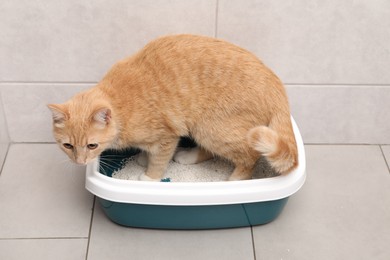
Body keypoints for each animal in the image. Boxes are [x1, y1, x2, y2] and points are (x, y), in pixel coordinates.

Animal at [48, 34, 298, 181]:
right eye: (68, 146)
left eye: (92, 145)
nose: (80, 162)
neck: (121, 103)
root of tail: (276, 86)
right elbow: (148, 153)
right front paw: (143, 158)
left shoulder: (166, 137)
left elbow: (159, 161)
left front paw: (150, 177)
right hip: (205, 129)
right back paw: (189, 157)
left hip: (212, 129)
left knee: (249, 156)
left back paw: (234, 182)